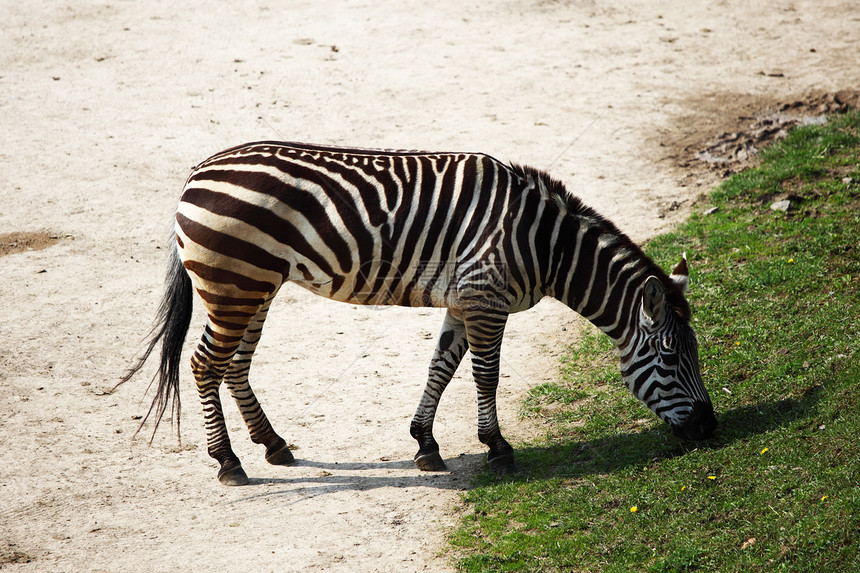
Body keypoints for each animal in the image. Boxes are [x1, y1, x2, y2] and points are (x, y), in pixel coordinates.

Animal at [117, 141, 716, 484]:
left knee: (234, 365)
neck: (545, 244)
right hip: (234, 286)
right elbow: (485, 375)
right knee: (204, 365)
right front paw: (498, 449)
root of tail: (197, 172)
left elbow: (441, 368)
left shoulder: (464, 299)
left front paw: (426, 444)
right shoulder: (486, 299)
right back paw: (228, 462)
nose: (710, 429)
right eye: (671, 358)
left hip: (253, 288)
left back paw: (274, 446)